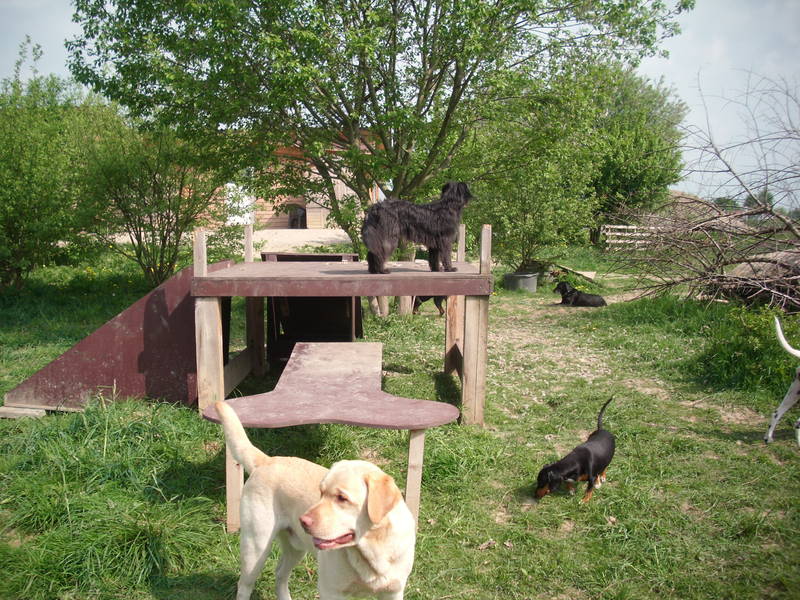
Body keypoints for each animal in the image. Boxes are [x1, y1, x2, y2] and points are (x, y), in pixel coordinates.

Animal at [215, 401, 416, 600]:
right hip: (256, 547)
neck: (373, 550)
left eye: (342, 498)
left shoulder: (393, 592)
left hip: (295, 547)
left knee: (280, 573)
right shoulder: (331, 591)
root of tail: (267, 460)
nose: (303, 521)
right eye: (321, 492)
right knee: (244, 585)